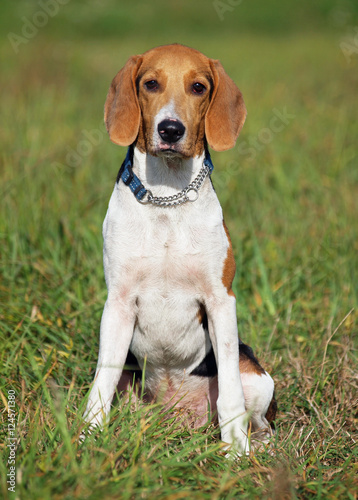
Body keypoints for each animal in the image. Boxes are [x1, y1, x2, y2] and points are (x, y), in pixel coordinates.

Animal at [84, 44, 276, 458]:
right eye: (150, 83)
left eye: (199, 87)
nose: (170, 129)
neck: (167, 197)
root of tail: (178, 416)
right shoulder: (118, 304)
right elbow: (100, 386)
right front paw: (85, 441)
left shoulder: (221, 301)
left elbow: (231, 396)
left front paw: (235, 453)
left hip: (256, 375)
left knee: (259, 419)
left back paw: (257, 446)